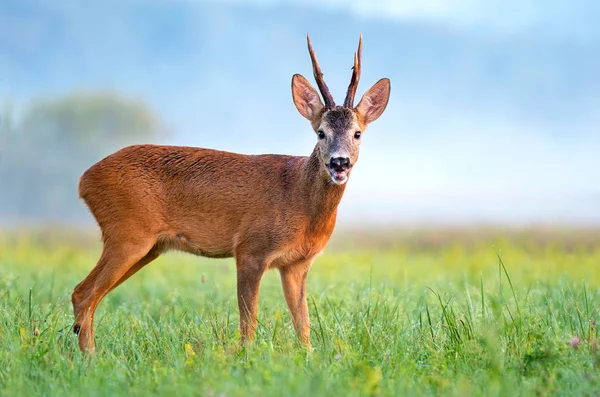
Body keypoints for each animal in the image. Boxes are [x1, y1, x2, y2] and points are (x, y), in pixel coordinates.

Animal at [71, 33, 390, 350]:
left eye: (357, 133)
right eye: (321, 133)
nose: (339, 162)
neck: (298, 196)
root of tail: (84, 180)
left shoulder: (296, 264)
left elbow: (303, 326)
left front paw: (306, 355)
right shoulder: (250, 248)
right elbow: (249, 322)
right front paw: (247, 356)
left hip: (149, 246)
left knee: (89, 295)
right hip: (128, 234)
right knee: (83, 292)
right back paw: (90, 357)